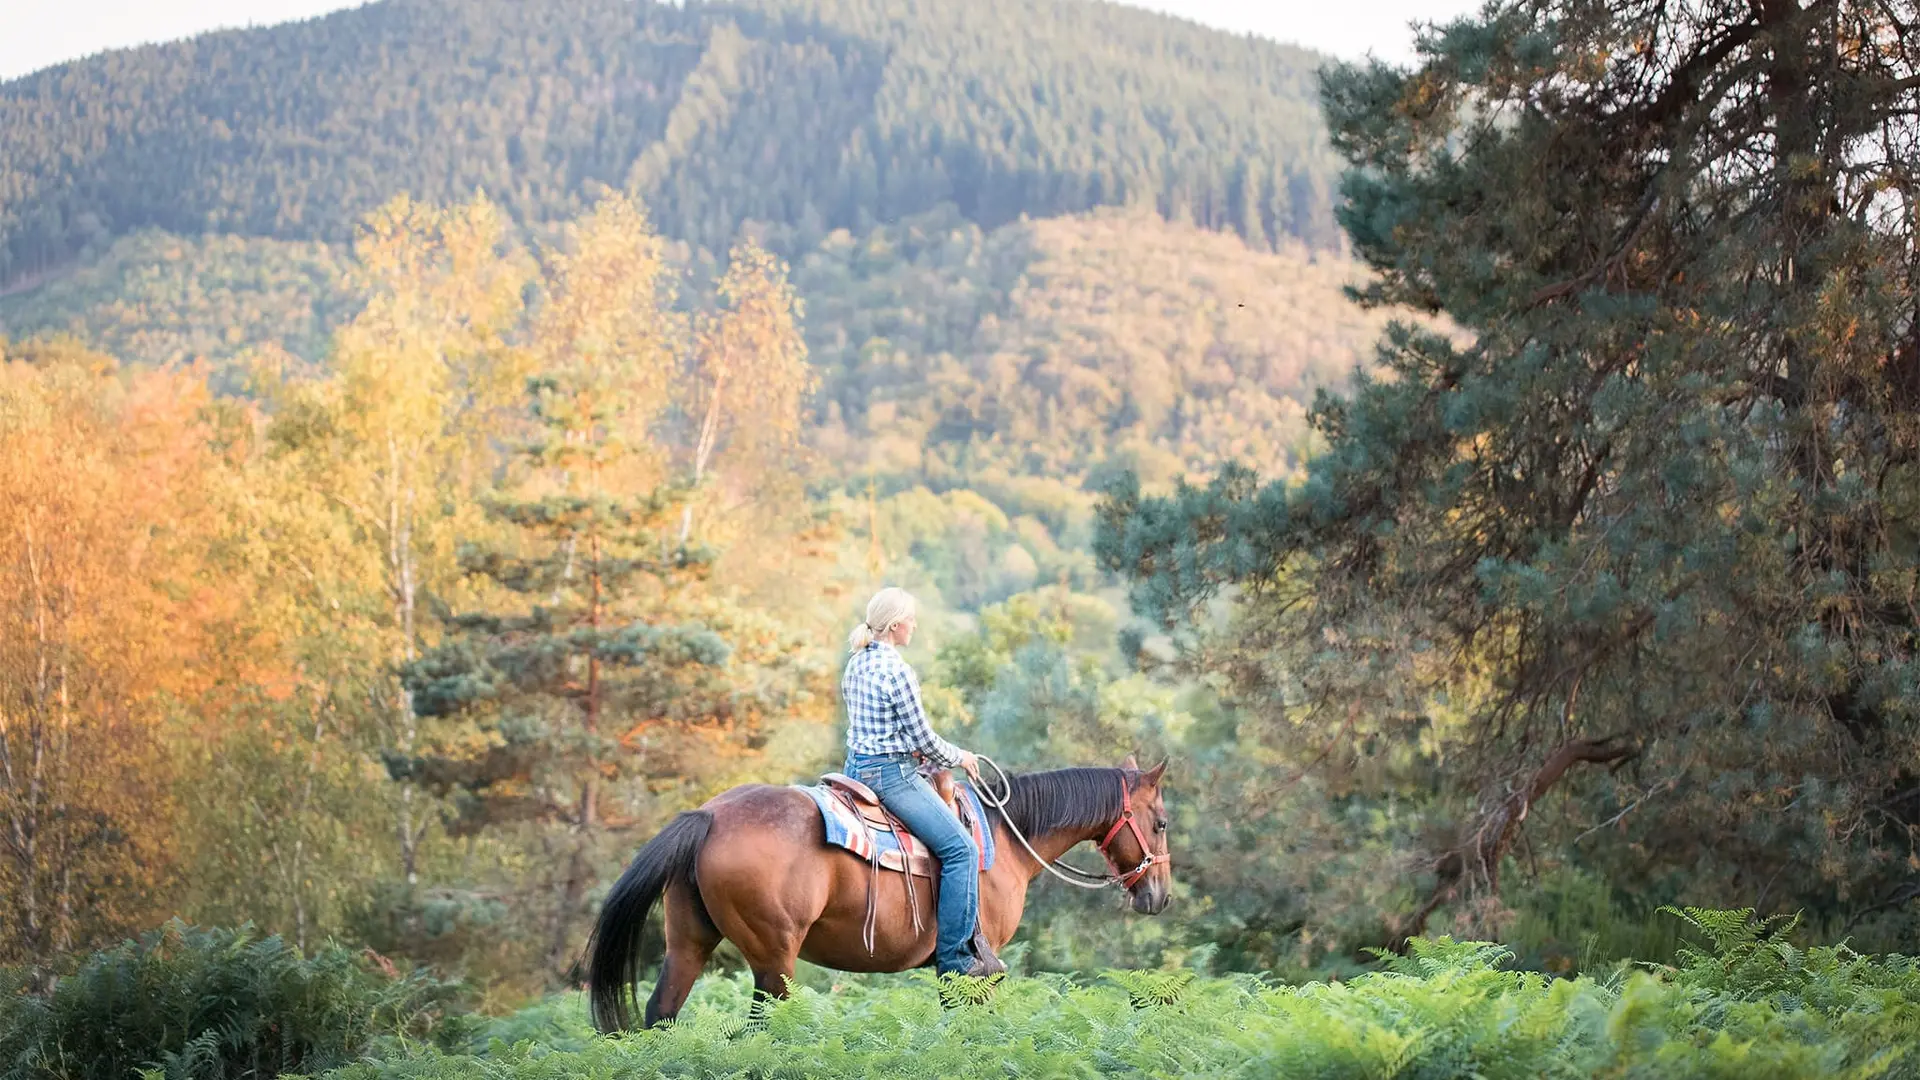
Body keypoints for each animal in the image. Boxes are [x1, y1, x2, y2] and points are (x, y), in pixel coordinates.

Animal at [587, 753, 1167, 1030]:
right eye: (1161, 822)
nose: (1159, 897)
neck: (1004, 838)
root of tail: (709, 815)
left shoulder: (951, 970)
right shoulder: (979, 966)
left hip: (689, 943)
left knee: (662, 1013)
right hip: (774, 960)